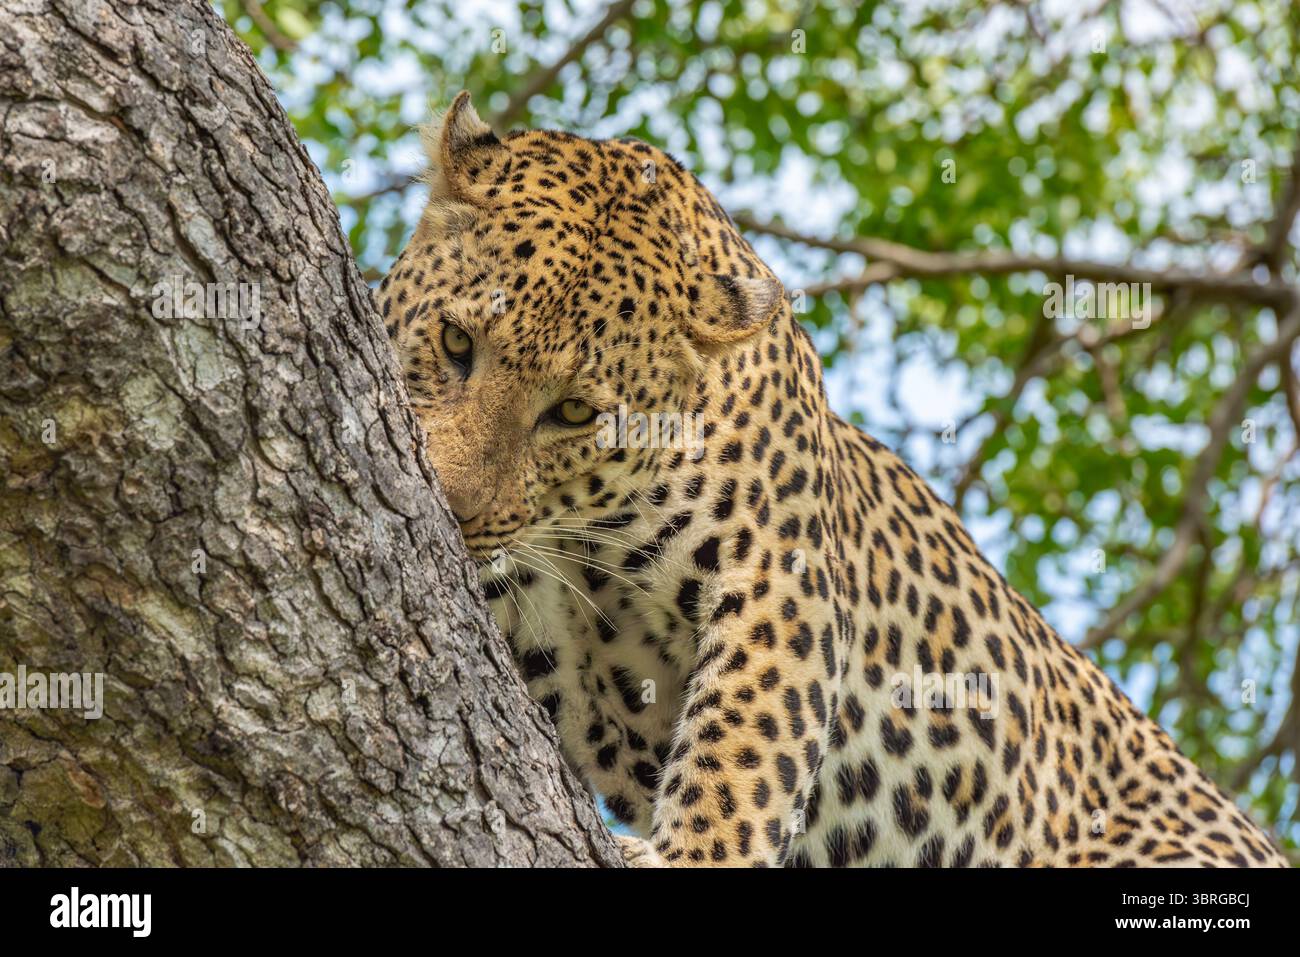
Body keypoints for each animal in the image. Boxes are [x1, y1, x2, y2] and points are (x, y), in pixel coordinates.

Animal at [378, 91, 1288, 868]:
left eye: (572, 411)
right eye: (456, 343)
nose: (451, 507)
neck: (583, 520)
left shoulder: (781, 576)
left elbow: (744, 746)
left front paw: (693, 853)